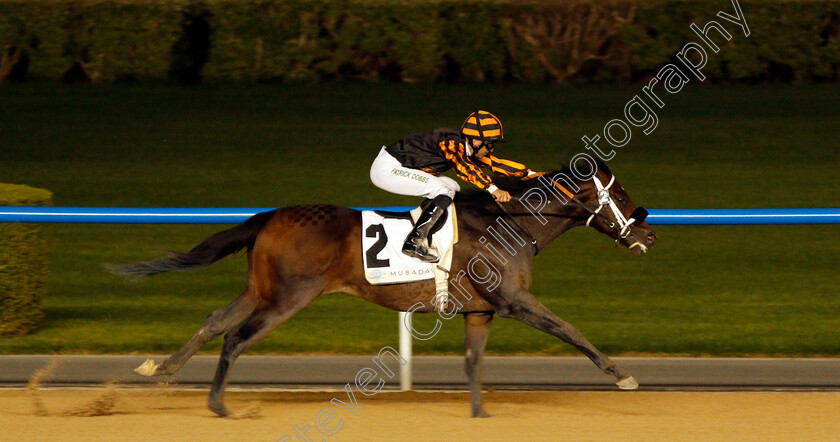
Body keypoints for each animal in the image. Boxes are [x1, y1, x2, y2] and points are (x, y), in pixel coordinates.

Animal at [108, 161, 656, 418]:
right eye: (621, 193)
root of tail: (270, 216)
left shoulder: (480, 312)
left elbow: (474, 363)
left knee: (214, 321)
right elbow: (570, 329)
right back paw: (218, 405)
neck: (511, 223)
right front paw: (623, 375)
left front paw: (480, 412)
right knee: (236, 337)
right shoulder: (515, 301)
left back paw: (161, 367)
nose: (649, 235)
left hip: (260, 290)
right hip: (287, 298)